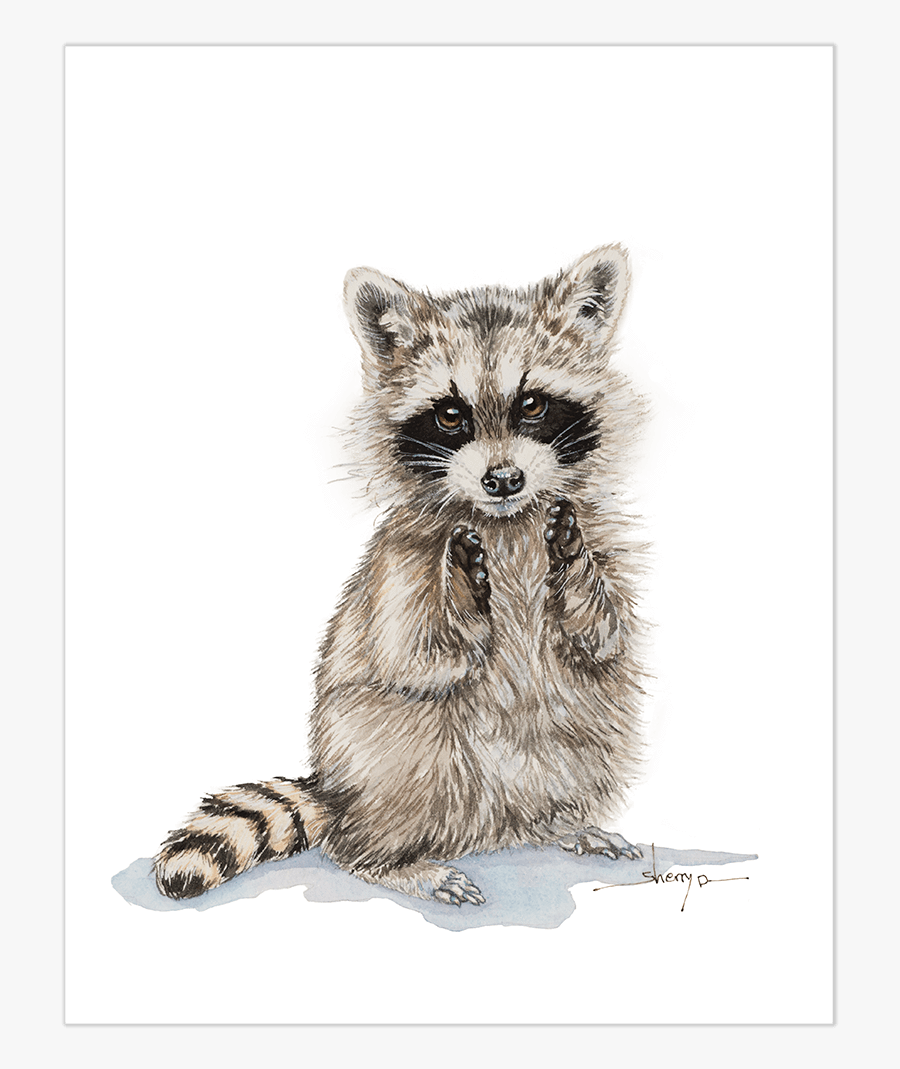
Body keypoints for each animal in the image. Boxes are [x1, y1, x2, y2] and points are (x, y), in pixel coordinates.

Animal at [155, 246, 646, 906]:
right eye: (451, 415)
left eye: (533, 404)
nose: (503, 479)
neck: (504, 522)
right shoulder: (402, 564)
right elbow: (415, 657)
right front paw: (462, 597)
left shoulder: (595, 532)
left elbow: (603, 638)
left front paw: (575, 571)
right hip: (379, 751)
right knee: (402, 746)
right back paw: (388, 859)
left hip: (575, 740)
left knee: (583, 724)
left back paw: (557, 821)